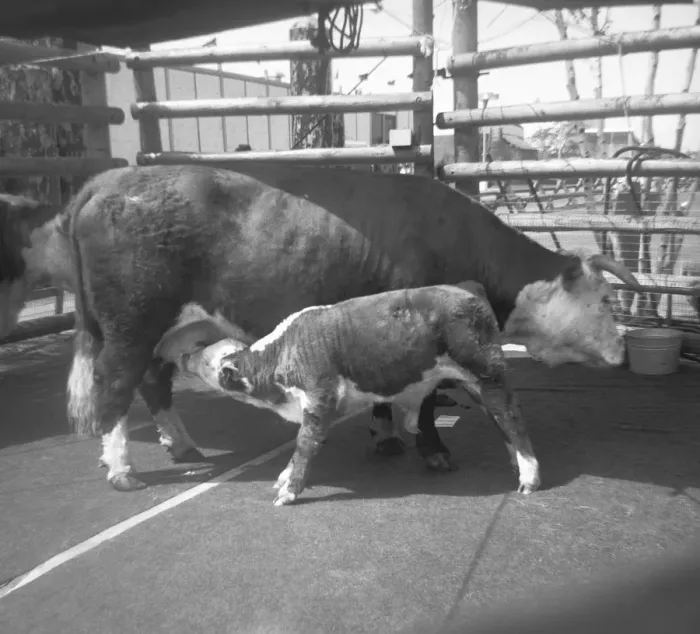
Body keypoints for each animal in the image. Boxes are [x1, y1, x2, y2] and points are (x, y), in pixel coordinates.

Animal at [154, 283, 539, 505]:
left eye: (207, 362)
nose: (184, 357)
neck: (282, 355)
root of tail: (468, 289)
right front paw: (284, 478)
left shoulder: (320, 397)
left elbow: (305, 444)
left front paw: (289, 489)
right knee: (501, 419)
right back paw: (514, 461)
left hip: (486, 373)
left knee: (510, 416)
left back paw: (529, 476)